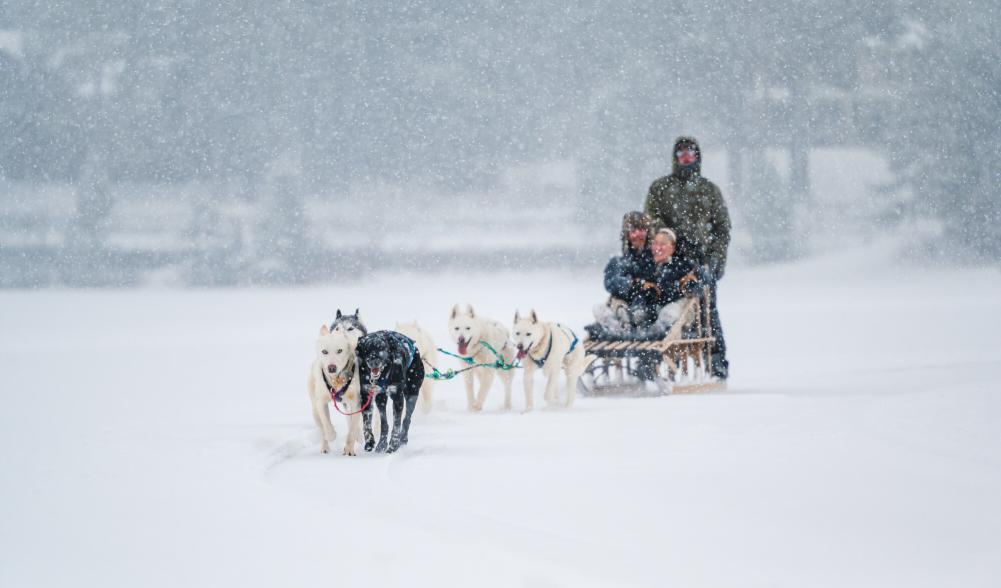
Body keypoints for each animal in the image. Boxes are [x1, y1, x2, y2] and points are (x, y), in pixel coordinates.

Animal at [308, 326, 368, 454]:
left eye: (339, 350)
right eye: (324, 351)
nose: (332, 367)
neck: (336, 382)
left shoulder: (356, 402)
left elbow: (352, 429)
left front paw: (349, 449)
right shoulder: (321, 403)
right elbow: (326, 423)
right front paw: (331, 435)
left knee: (352, 423)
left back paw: (358, 436)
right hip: (315, 411)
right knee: (322, 429)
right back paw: (325, 447)